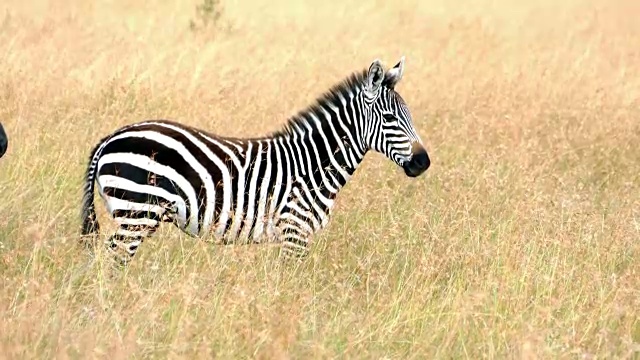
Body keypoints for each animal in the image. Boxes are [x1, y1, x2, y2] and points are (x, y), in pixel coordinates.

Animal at [79, 57, 430, 264]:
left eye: (410, 116)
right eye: (389, 118)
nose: (423, 162)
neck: (314, 164)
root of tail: (110, 138)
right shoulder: (294, 232)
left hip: (133, 214)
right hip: (136, 212)